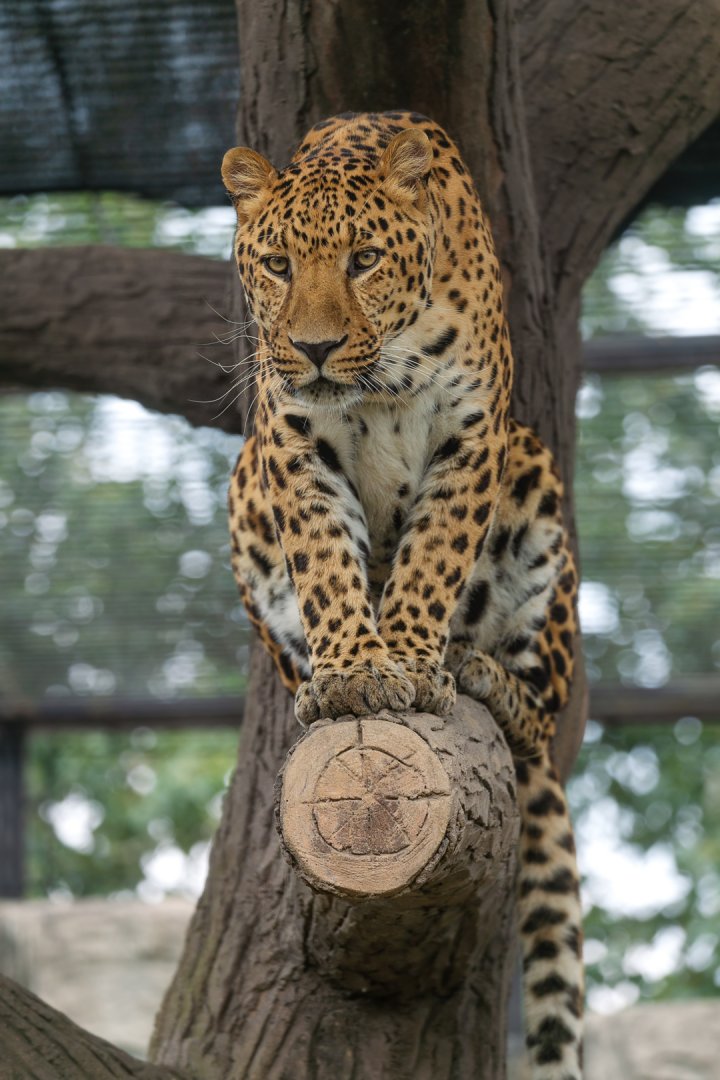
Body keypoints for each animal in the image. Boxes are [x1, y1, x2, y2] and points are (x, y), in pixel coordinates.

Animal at [222, 111, 584, 1080]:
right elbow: (327, 564)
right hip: (242, 492)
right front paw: (353, 670)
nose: (312, 347)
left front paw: (412, 662)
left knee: (546, 714)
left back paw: (478, 673)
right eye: (279, 265)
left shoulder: (473, 434)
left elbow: (432, 557)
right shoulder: (290, 438)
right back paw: (313, 686)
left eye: (363, 260)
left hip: (537, 482)